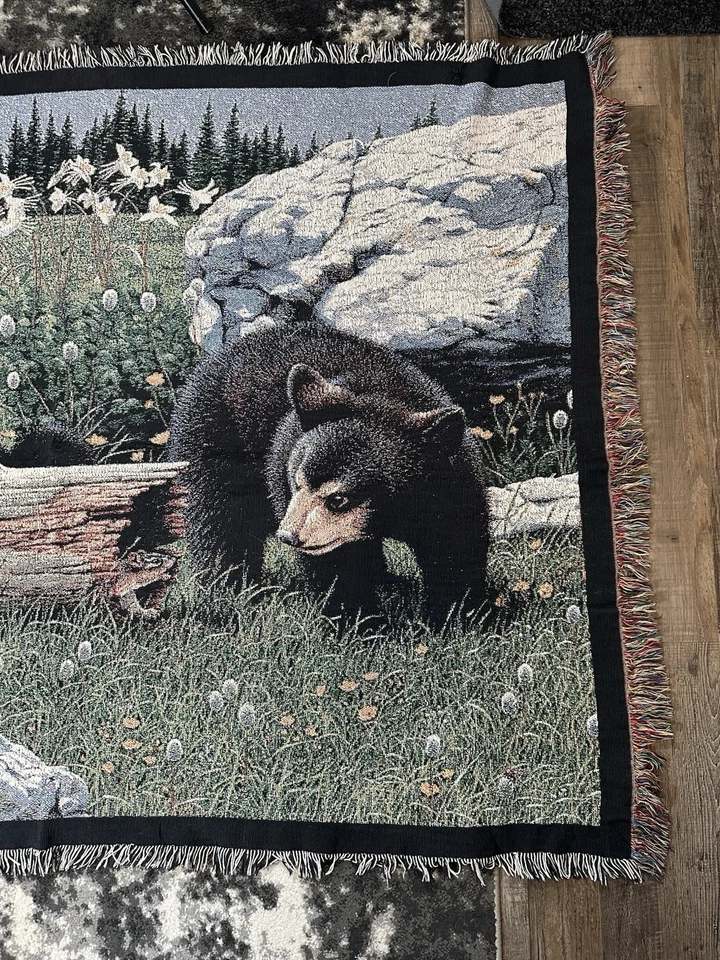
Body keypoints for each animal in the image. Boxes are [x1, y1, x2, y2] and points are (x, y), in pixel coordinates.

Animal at [169, 322, 490, 624]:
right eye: (297, 483)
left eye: (338, 499)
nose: (289, 536)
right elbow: (335, 566)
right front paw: (359, 622)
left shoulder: (450, 486)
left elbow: (454, 542)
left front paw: (454, 613)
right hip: (213, 435)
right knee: (220, 519)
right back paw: (229, 589)